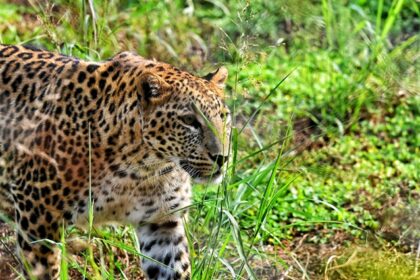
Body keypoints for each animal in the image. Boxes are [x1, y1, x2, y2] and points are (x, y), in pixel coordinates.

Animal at [0, 44, 230, 280]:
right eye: (189, 121)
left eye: (223, 116)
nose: (222, 157)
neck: (142, 169)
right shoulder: (38, 219)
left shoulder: (162, 224)